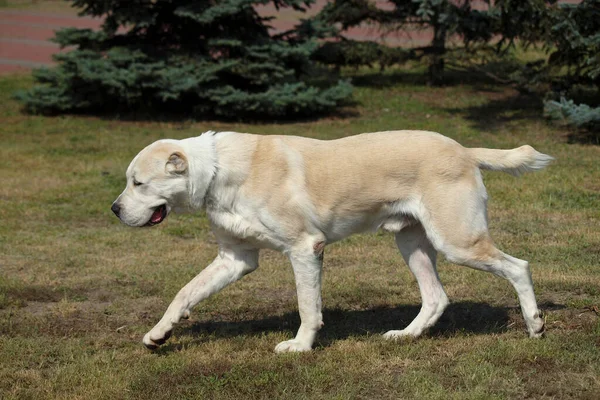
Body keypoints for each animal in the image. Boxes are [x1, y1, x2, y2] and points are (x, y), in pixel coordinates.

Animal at [112, 130, 552, 352]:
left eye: (138, 183)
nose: (115, 210)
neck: (219, 170)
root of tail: (464, 149)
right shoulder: (235, 258)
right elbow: (184, 293)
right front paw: (159, 334)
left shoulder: (305, 249)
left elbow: (308, 307)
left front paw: (300, 347)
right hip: (412, 244)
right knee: (436, 297)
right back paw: (405, 336)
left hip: (458, 242)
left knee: (519, 267)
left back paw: (534, 324)